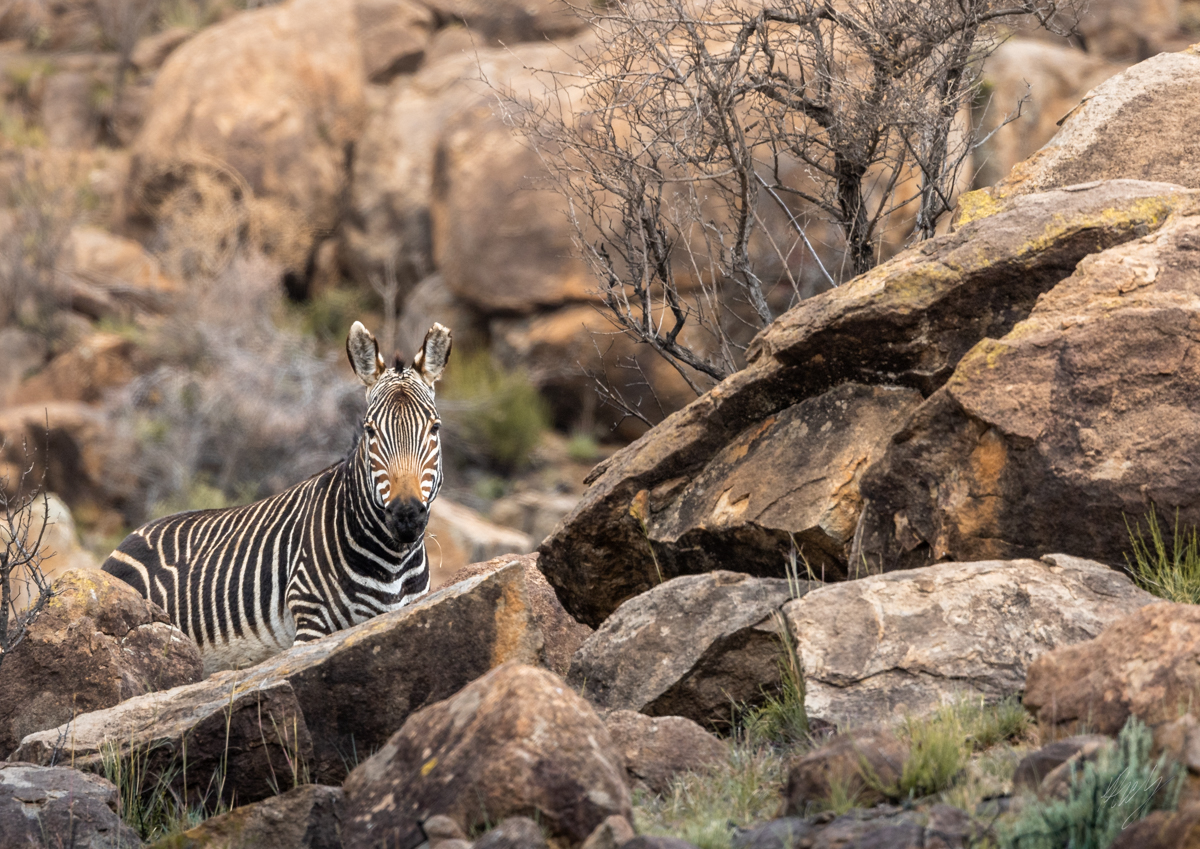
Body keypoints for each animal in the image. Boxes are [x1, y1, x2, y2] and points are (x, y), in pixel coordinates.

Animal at [102, 320, 452, 675]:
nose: (406, 515)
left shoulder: (401, 616)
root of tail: (127, 539)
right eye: (370, 431)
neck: (394, 562)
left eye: (435, 428)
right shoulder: (311, 623)